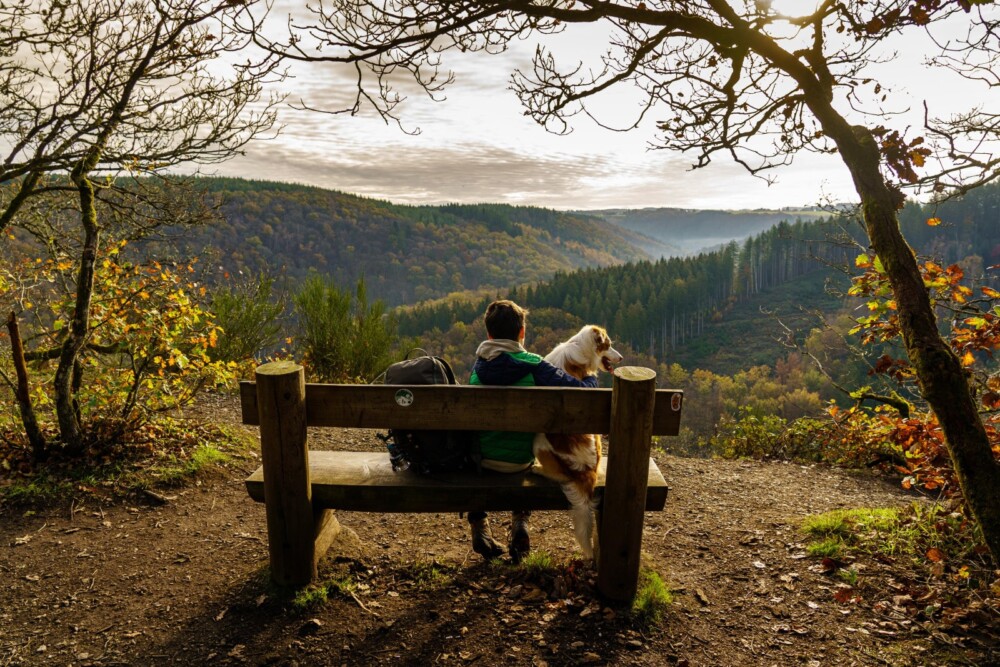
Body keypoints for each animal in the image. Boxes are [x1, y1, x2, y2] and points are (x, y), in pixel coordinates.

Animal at [528, 324, 620, 560]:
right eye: (609, 345)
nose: (622, 357)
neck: (579, 346)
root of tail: (587, 471)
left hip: (539, 440)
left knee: (560, 475)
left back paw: (538, 469)